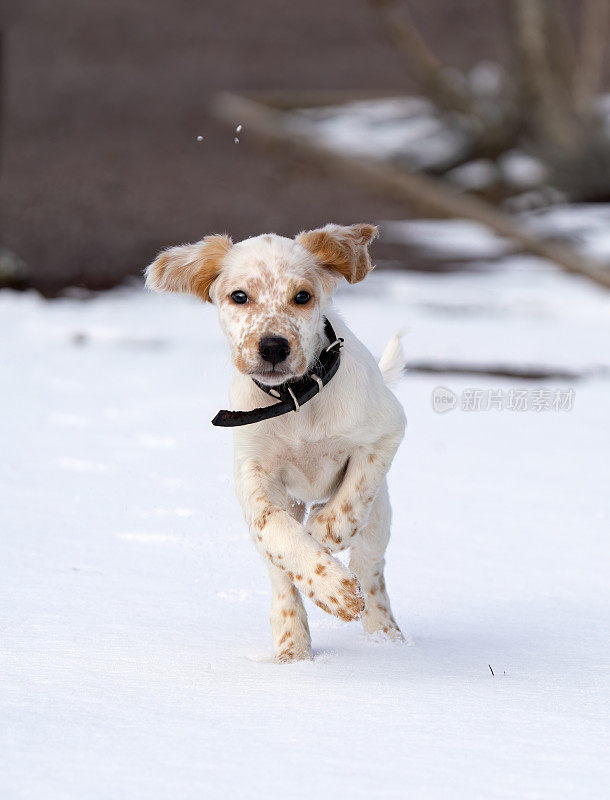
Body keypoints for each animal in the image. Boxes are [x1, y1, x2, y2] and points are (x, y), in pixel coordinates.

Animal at [145, 223, 406, 664]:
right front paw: (331, 587)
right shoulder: (253, 475)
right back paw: (293, 650)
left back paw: (388, 641)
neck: (295, 400)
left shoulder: (386, 431)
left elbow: (349, 502)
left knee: (371, 572)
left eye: (302, 297)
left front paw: (324, 539)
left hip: (379, 523)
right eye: (239, 296)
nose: (272, 346)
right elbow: (276, 530)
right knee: (279, 571)